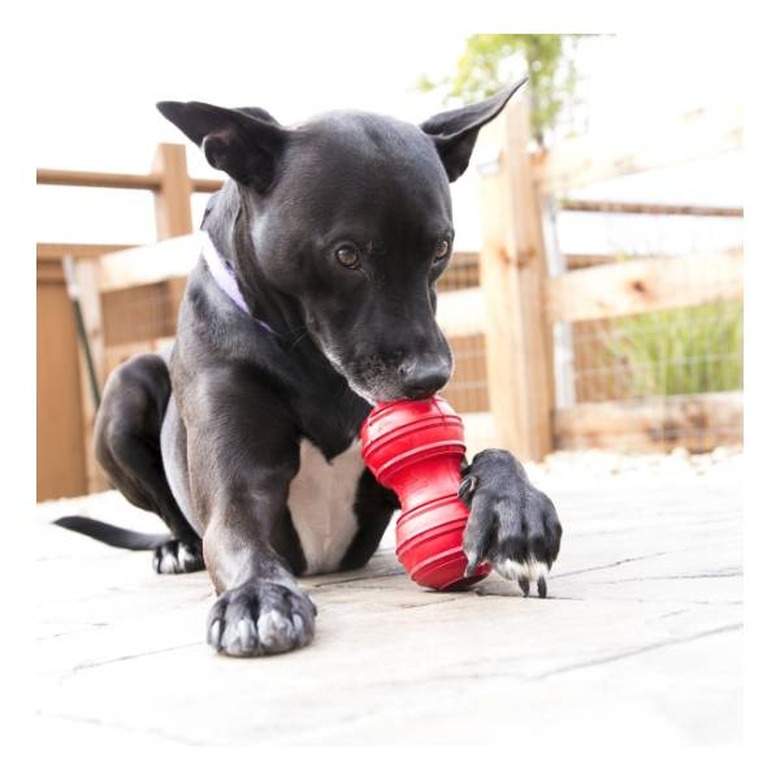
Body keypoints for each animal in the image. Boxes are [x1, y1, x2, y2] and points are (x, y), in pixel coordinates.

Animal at [58, 79, 564, 656]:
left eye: (440, 248)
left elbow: (492, 453)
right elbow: (236, 535)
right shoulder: (238, 492)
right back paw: (175, 547)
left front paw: (513, 510)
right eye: (346, 255)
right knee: (174, 510)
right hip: (128, 385)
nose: (430, 379)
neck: (314, 364)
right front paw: (257, 596)